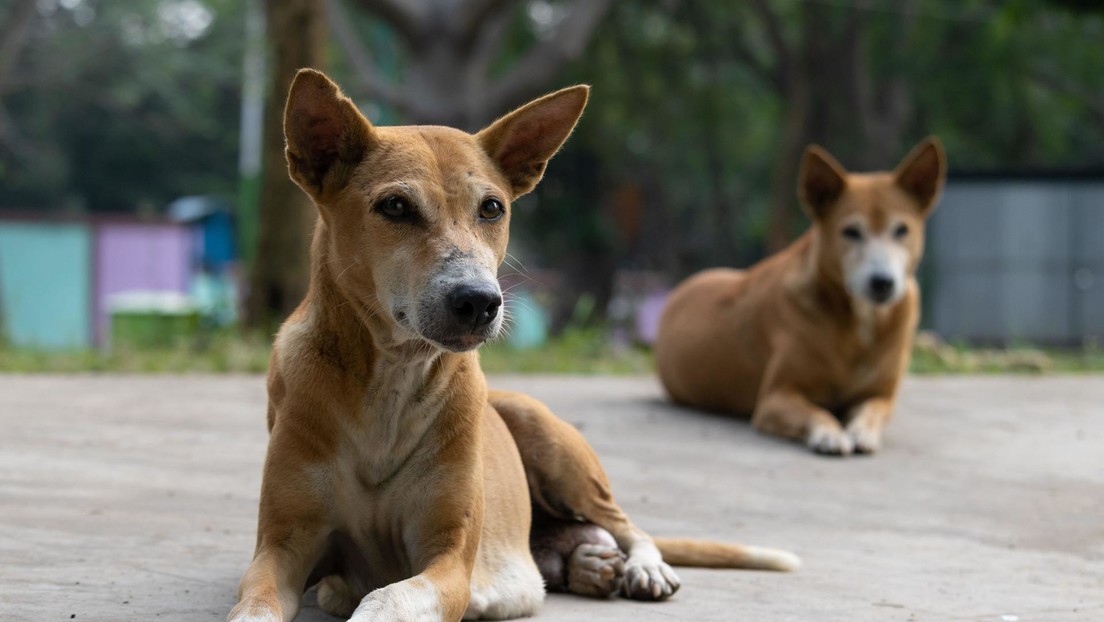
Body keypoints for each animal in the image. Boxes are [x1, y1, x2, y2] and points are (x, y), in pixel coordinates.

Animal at [228, 68, 799, 622]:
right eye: (394, 206)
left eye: (491, 208)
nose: (479, 301)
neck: (392, 376)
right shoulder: (281, 547)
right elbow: (256, 602)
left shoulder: (450, 559)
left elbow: (389, 597)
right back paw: (581, 560)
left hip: (547, 437)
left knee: (624, 522)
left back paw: (641, 564)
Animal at [653, 139, 949, 457]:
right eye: (851, 232)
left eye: (901, 230)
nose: (882, 282)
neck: (858, 324)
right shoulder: (775, 398)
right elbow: (815, 412)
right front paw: (829, 433)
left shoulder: (880, 395)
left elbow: (871, 412)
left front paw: (862, 431)